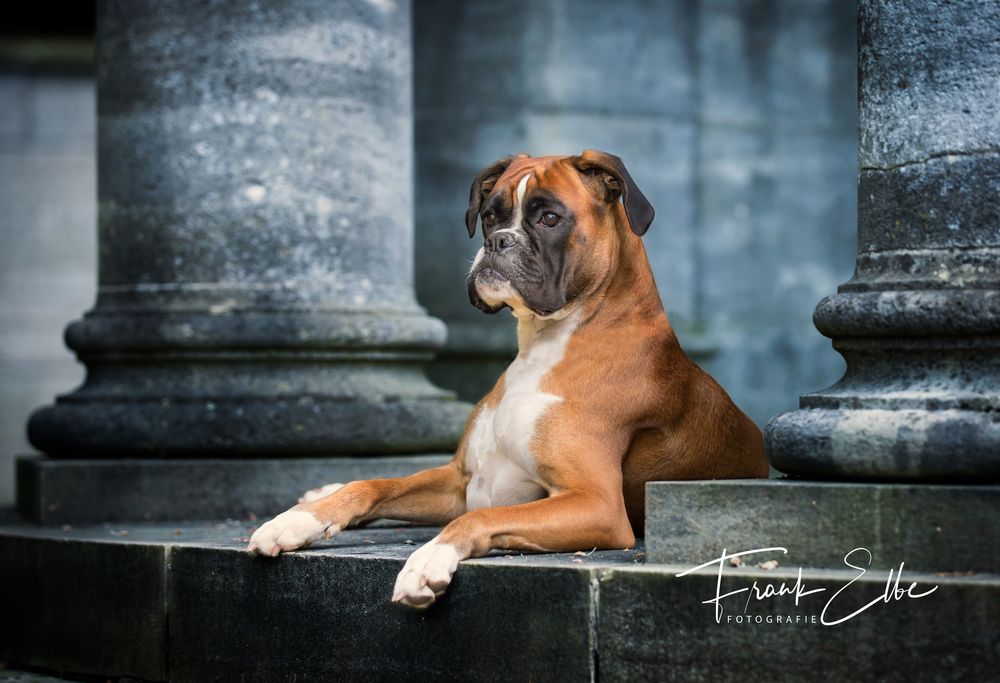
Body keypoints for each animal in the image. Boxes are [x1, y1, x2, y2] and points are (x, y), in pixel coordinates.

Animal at [248, 151, 764, 608]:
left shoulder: (596, 505)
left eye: (550, 218)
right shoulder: (461, 481)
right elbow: (371, 485)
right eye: (490, 216)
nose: (498, 242)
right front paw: (295, 522)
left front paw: (428, 560)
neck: (545, 345)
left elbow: (481, 519)